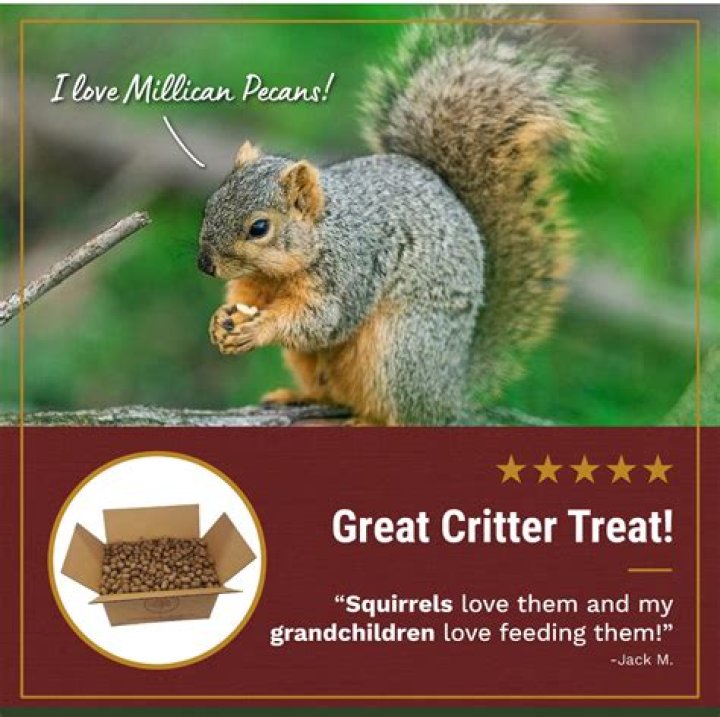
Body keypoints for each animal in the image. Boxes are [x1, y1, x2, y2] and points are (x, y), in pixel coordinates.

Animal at [197, 8, 601, 425]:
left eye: (259, 228)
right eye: (210, 204)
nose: (204, 265)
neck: (319, 235)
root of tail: (451, 390)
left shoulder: (351, 270)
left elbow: (323, 321)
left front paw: (260, 327)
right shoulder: (258, 281)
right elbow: (248, 297)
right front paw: (220, 321)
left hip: (399, 350)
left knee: (403, 412)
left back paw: (370, 421)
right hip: (315, 362)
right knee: (331, 390)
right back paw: (297, 396)